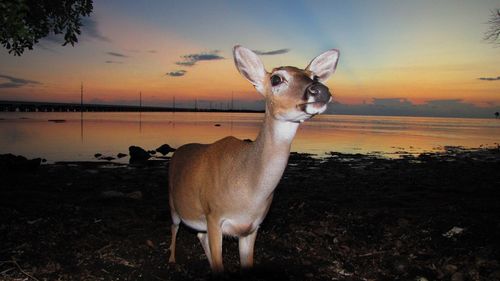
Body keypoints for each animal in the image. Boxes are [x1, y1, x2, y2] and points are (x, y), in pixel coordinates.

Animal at [169, 44, 340, 272]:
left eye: (315, 76)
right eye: (276, 78)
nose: (320, 90)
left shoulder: (251, 228)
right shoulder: (214, 216)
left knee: (198, 234)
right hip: (174, 204)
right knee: (175, 227)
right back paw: (171, 259)